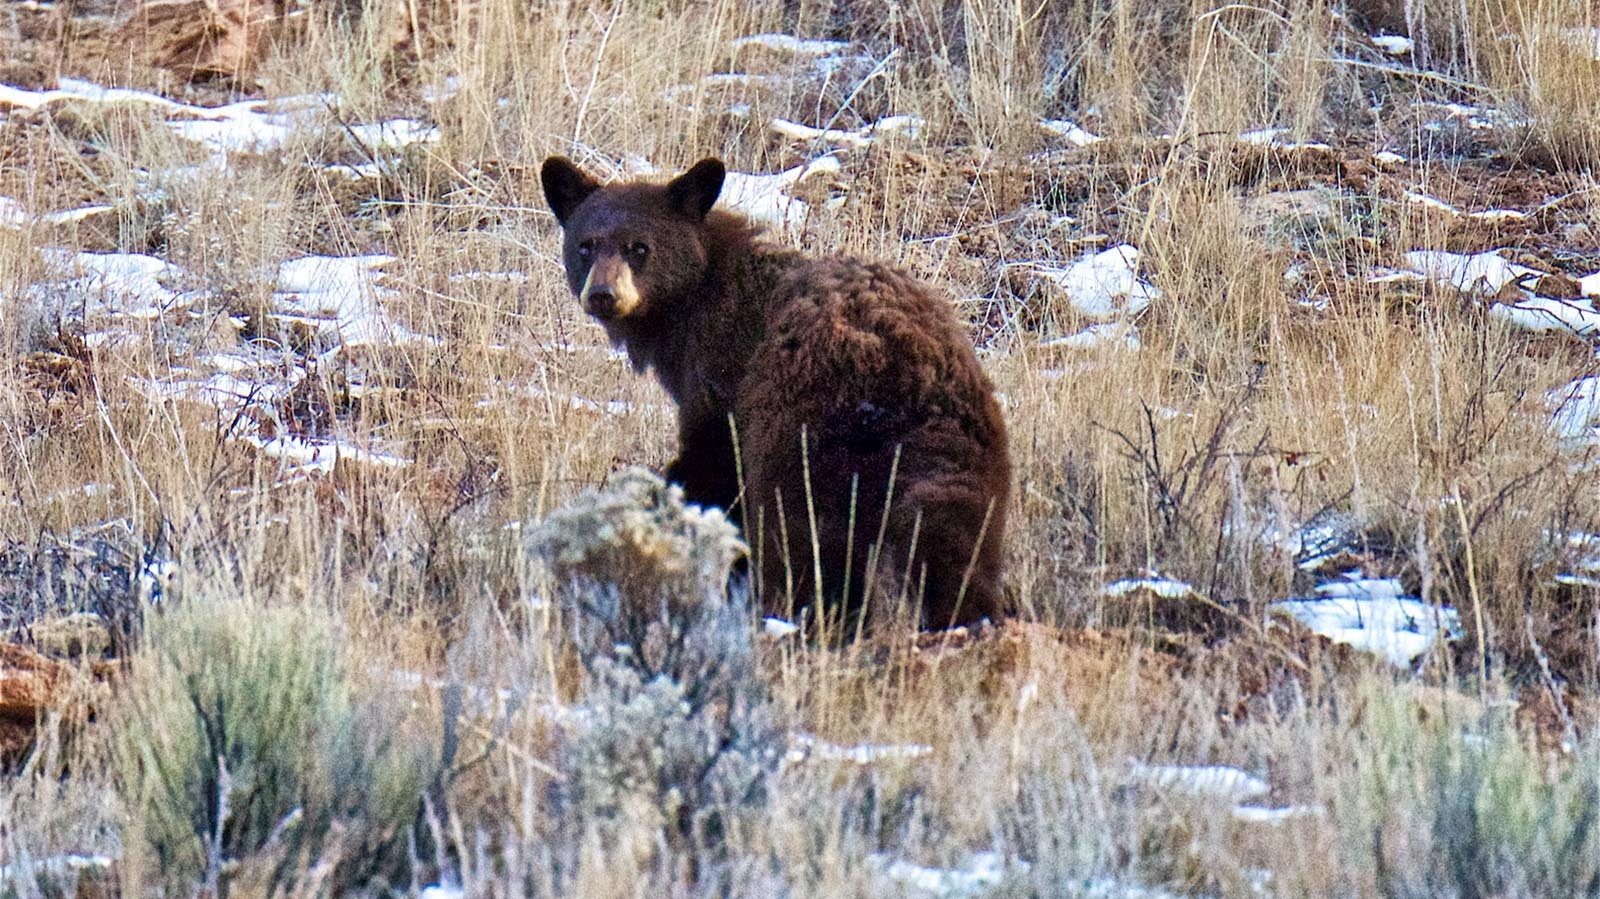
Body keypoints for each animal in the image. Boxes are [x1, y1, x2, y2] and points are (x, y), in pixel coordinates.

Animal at [540, 155, 1010, 629]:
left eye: (639, 247)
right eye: (586, 245)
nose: (603, 294)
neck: (695, 303)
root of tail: (905, 373)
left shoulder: (723, 374)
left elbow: (714, 465)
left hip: (804, 427)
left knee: (799, 526)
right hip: (966, 456)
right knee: (952, 539)